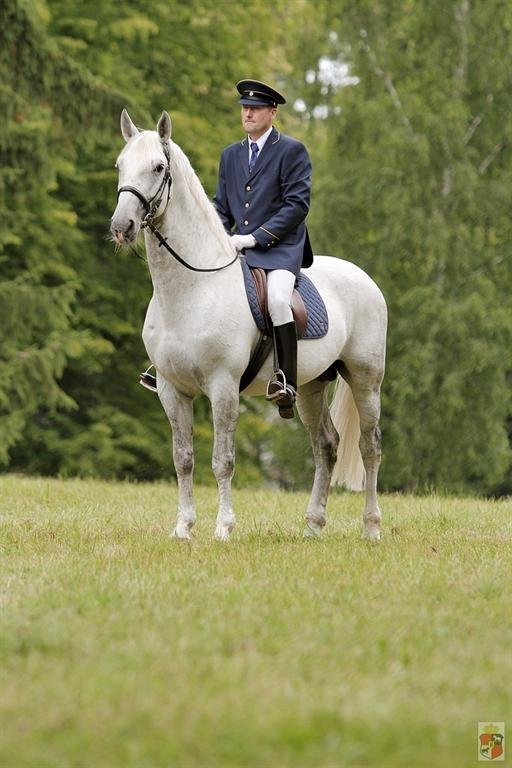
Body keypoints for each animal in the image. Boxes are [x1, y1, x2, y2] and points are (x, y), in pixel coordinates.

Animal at [110, 110, 387, 542]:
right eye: (120, 165)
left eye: (157, 167)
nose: (121, 226)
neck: (191, 289)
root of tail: (362, 277)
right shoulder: (172, 390)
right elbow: (183, 458)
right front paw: (183, 528)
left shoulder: (223, 387)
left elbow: (222, 460)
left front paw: (223, 527)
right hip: (310, 386)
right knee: (326, 446)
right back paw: (313, 527)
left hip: (365, 378)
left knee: (369, 446)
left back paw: (371, 528)